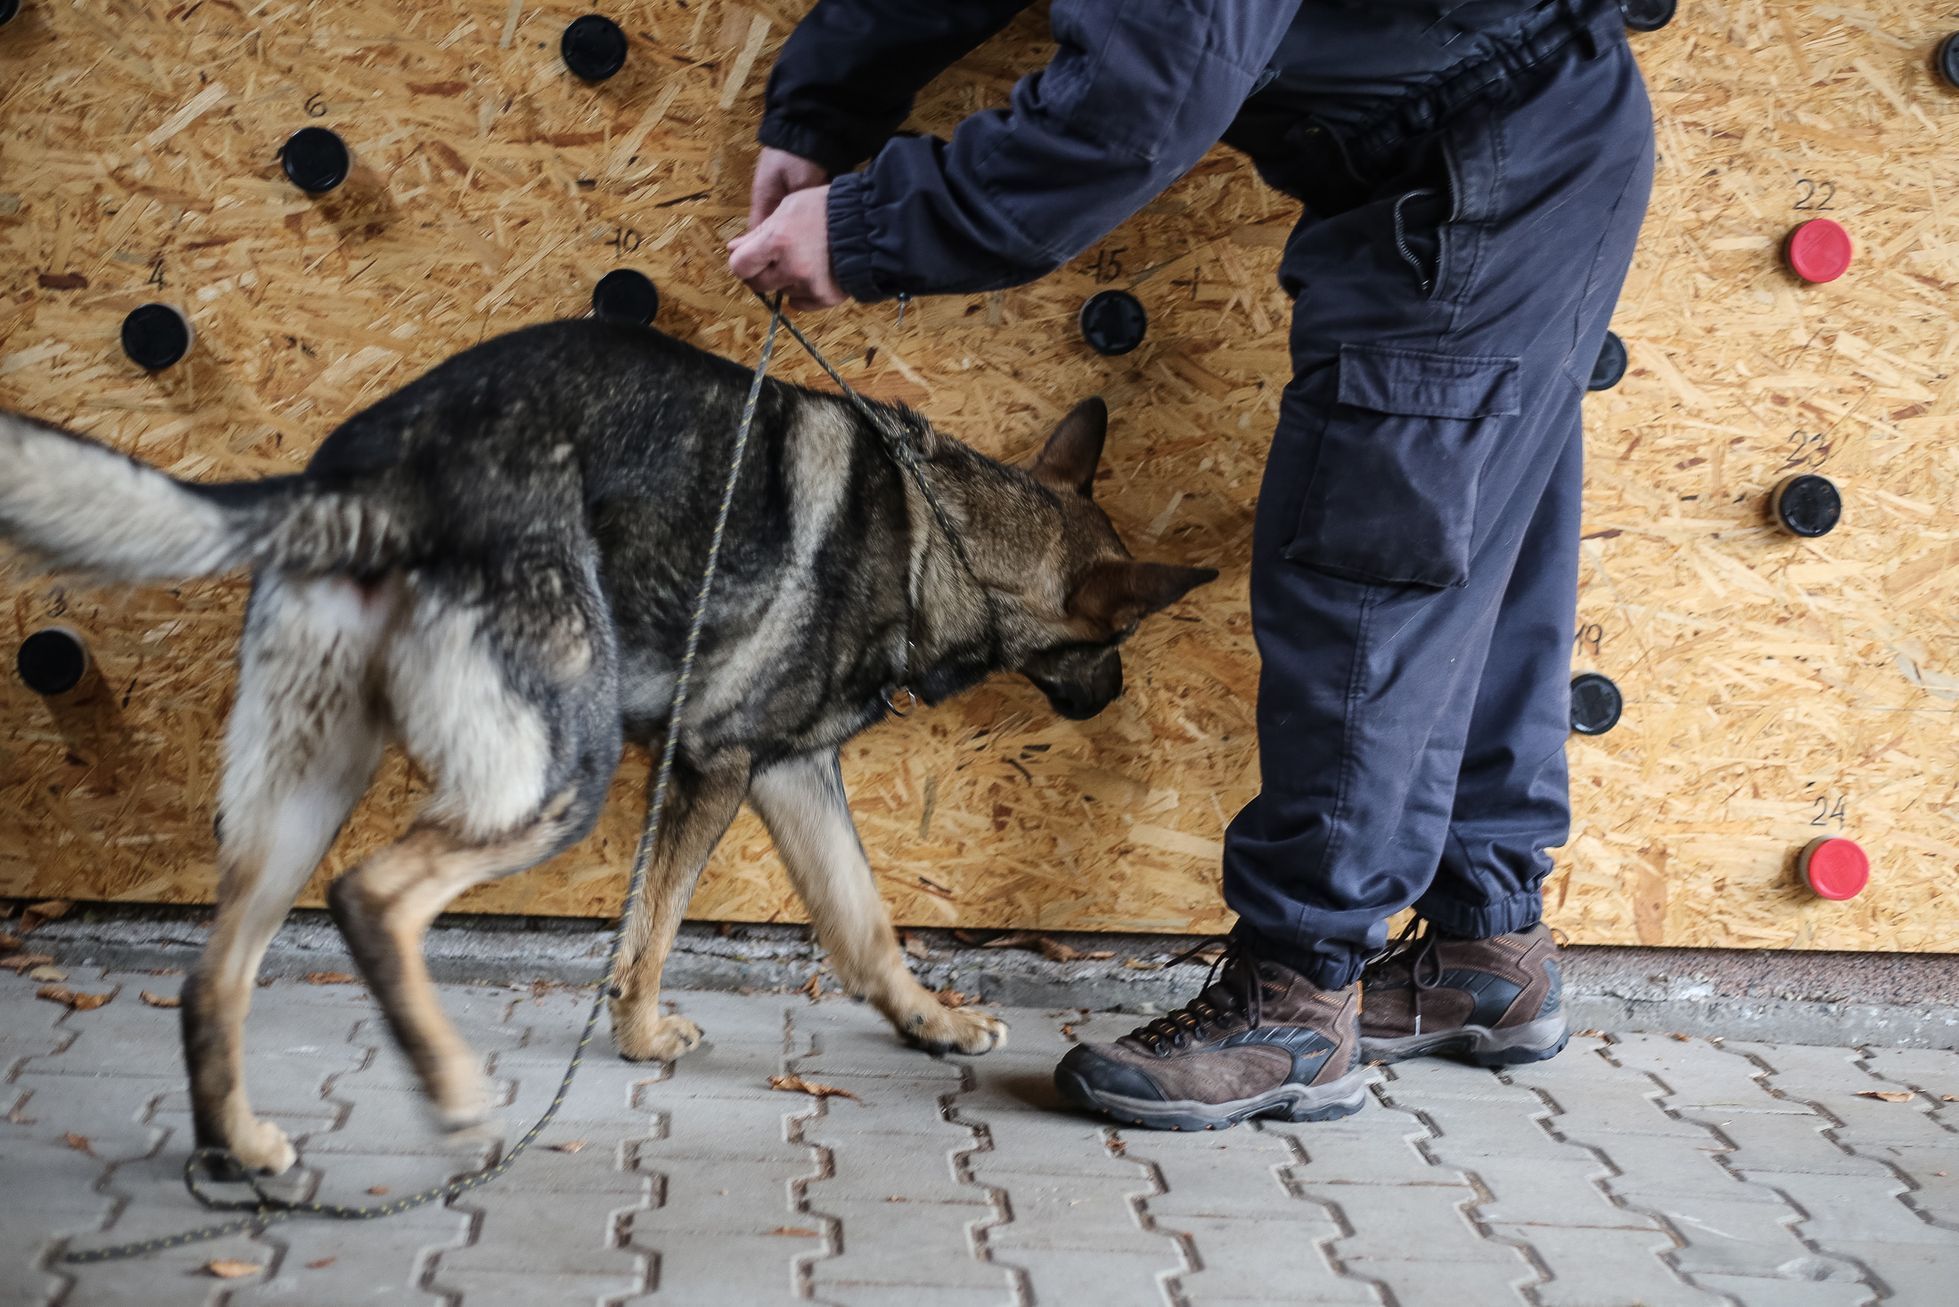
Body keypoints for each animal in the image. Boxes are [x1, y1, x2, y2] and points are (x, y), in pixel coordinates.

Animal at [0, 325, 1214, 1175]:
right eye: (1117, 642)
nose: (1117, 696)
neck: (939, 537)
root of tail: (366, 480)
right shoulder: (715, 766)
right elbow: (663, 919)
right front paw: (636, 1033)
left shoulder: (787, 775)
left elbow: (859, 922)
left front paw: (930, 1021)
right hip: (553, 777)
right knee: (374, 895)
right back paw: (449, 1086)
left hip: (304, 795)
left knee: (214, 972)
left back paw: (237, 1146)